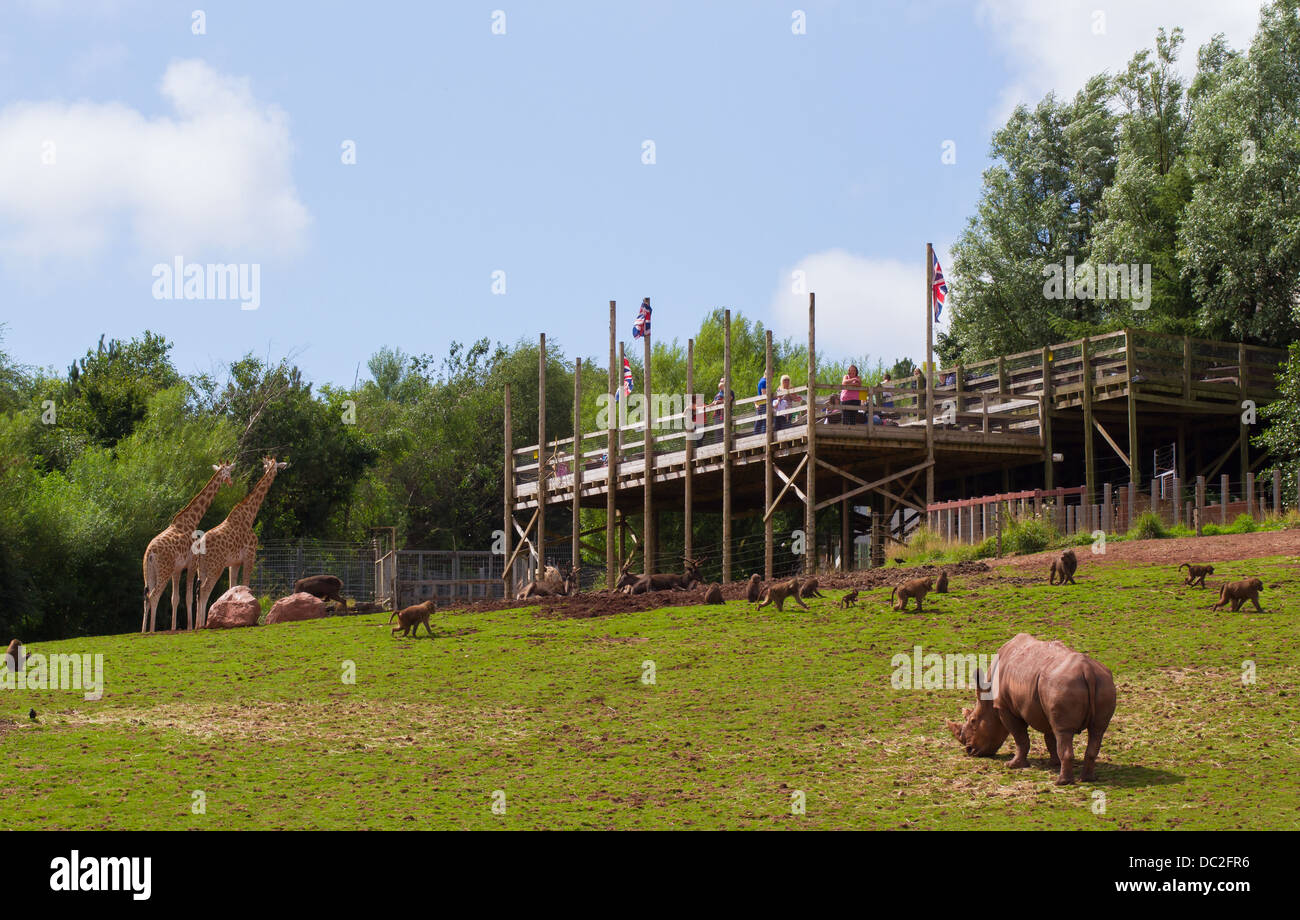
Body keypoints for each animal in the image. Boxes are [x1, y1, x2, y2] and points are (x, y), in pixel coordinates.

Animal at [144, 460, 239, 631]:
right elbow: (188, 597)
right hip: (163, 571)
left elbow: (175, 598)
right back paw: (151, 630)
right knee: (154, 596)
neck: (192, 519)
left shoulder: (177, 569)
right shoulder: (192, 563)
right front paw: (189, 626)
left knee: (146, 598)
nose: (230, 483)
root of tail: (150, 554)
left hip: (149, 572)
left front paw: (174, 628)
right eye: (229, 472)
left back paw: (142, 630)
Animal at [192, 457, 287, 628]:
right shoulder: (250, 555)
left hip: (201, 568)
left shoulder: (234, 563)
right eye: (277, 466)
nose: (285, 466)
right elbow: (246, 584)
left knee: (197, 592)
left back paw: (197, 625)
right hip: (215, 567)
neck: (249, 515)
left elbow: (232, 588)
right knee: (204, 590)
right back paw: (202, 625)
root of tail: (200, 546)